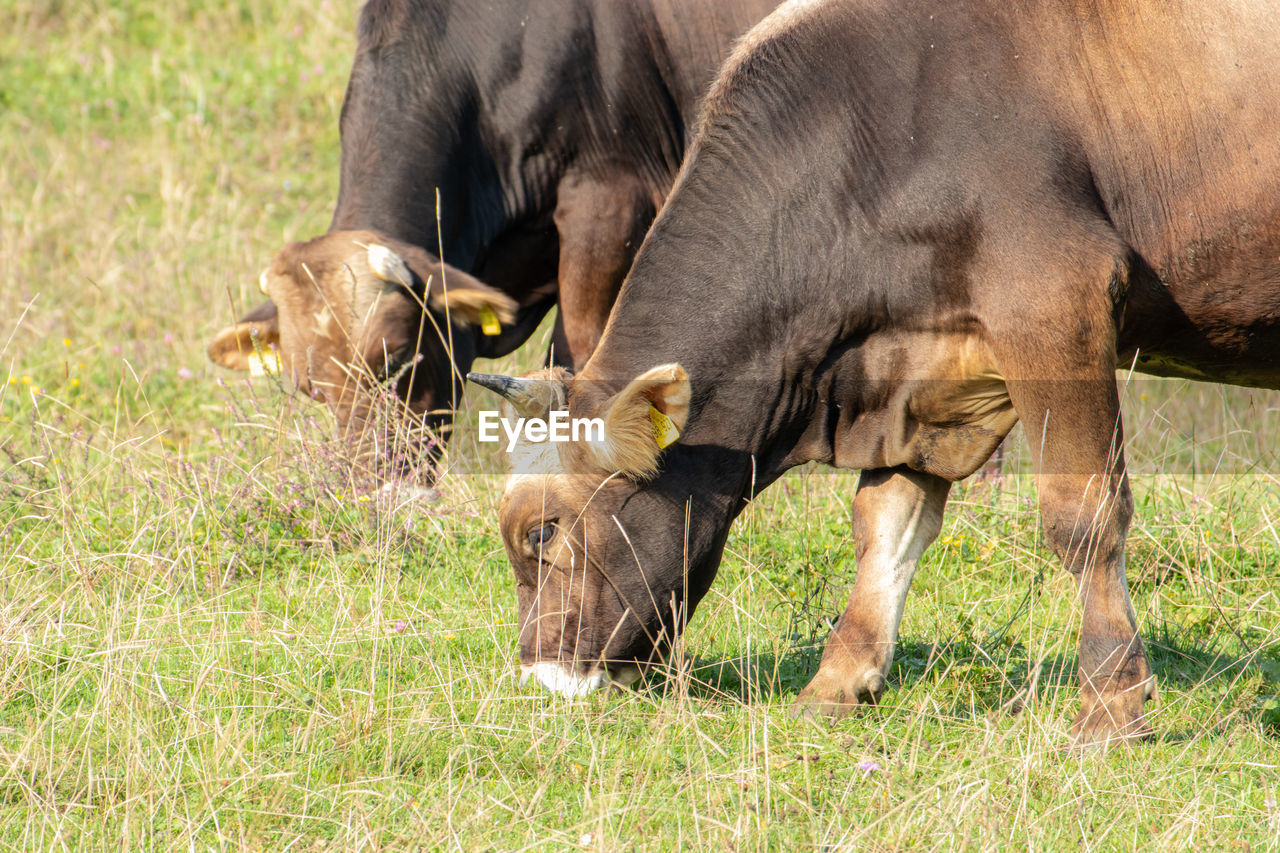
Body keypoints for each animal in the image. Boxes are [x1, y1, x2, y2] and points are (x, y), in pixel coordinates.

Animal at [473, 0, 1280, 742]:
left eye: (542, 532)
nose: (542, 677)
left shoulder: (1055, 300)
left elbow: (1082, 514)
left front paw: (1110, 704)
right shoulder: (914, 374)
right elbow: (884, 525)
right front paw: (839, 679)